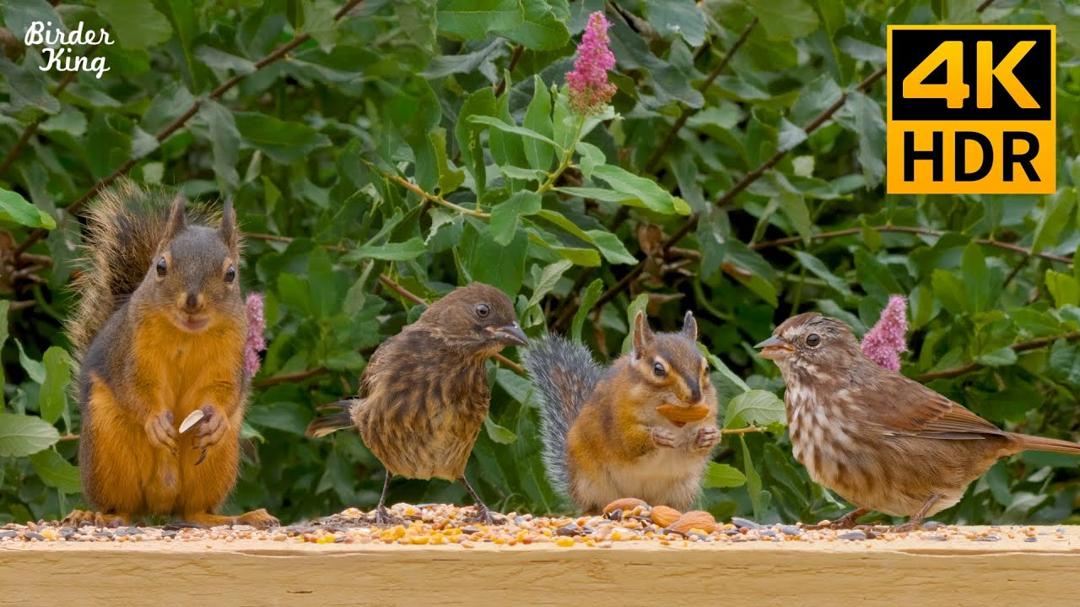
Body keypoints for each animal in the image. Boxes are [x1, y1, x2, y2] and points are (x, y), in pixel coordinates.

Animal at [62, 180, 277, 528]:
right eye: (160, 266)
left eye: (231, 274)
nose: (192, 301)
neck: (186, 335)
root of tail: (159, 506)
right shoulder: (132, 352)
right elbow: (136, 387)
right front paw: (155, 422)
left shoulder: (231, 355)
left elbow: (224, 390)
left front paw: (217, 418)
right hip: (108, 450)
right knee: (121, 506)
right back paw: (95, 514)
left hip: (216, 464)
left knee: (194, 510)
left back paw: (243, 516)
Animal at [524, 311, 720, 512]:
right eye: (658, 369)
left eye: (706, 369)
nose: (696, 396)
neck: (668, 419)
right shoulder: (618, 419)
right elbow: (628, 442)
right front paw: (657, 436)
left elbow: (696, 449)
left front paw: (709, 436)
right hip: (592, 486)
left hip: (681, 490)